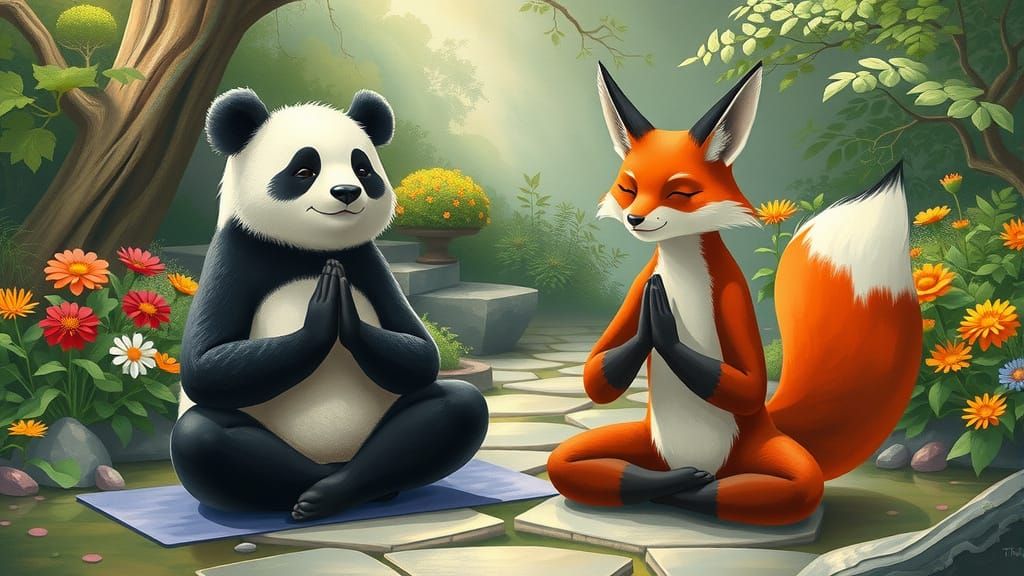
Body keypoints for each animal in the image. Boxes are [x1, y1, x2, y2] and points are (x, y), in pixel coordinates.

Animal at [170, 88, 489, 521]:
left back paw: (347, 488)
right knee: (201, 437)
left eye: (363, 169)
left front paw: (344, 312)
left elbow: (421, 353)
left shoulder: (367, 261)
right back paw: (313, 493)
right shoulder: (237, 253)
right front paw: (323, 315)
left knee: (457, 406)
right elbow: (204, 366)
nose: (347, 193)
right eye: (305, 170)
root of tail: (334, 457)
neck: (307, 250)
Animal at [546, 61, 924, 526]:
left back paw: (689, 488)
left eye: (679, 192)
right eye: (628, 188)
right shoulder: (640, 287)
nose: (634, 218)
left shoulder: (730, 290)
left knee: (790, 486)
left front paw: (663, 330)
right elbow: (594, 375)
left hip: (763, 455)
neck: (680, 271)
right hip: (641, 445)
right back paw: (671, 484)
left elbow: (749, 384)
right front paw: (649, 329)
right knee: (568, 461)